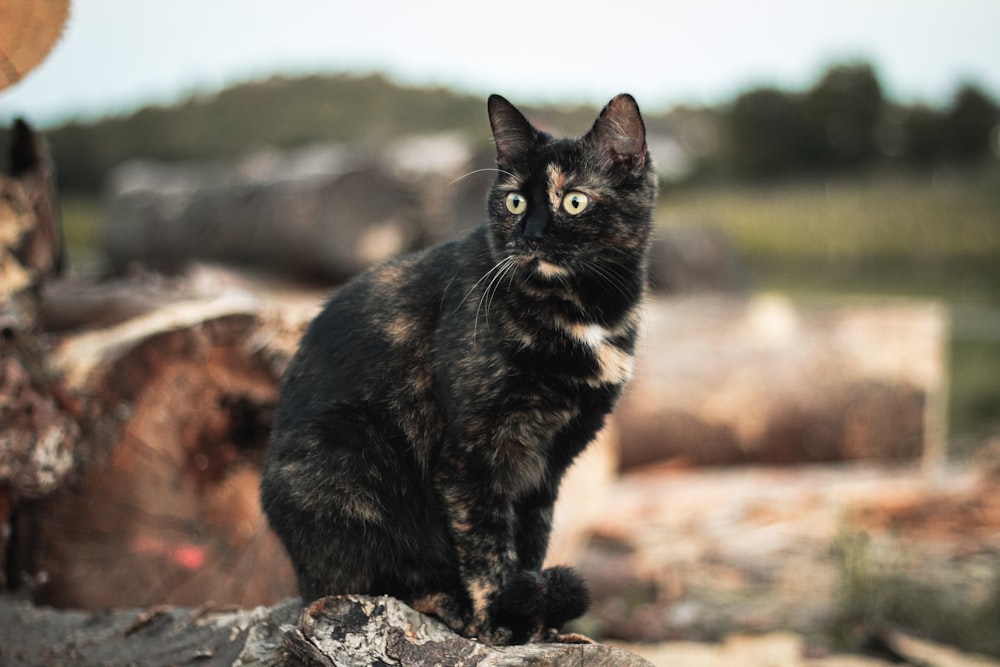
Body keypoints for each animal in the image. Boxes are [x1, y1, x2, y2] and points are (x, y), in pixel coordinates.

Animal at [262, 91, 660, 644]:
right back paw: (445, 603)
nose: (531, 235)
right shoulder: (473, 455)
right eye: (516, 201)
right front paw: (497, 619)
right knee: (365, 578)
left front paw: (535, 627)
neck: (582, 313)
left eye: (574, 201)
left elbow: (530, 543)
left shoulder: (546, 465)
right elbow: (487, 548)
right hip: (348, 451)